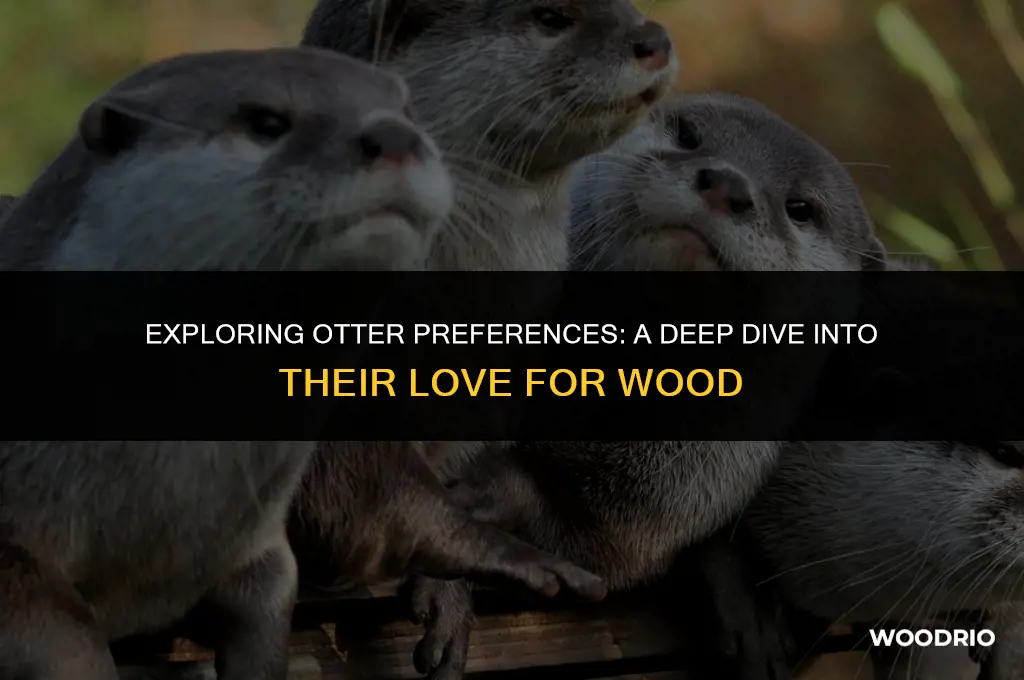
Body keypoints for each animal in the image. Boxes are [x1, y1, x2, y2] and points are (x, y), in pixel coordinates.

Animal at [0, 46, 452, 680]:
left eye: (407, 109)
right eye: (266, 122)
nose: (395, 135)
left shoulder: (258, 540)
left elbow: (267, 605)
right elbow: (67, 644)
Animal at [409, 92, 889, 679]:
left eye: (801, 208)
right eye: (687, 135)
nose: (728, 183)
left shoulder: (687, 480)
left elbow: (609, 538)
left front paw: (491, 491)